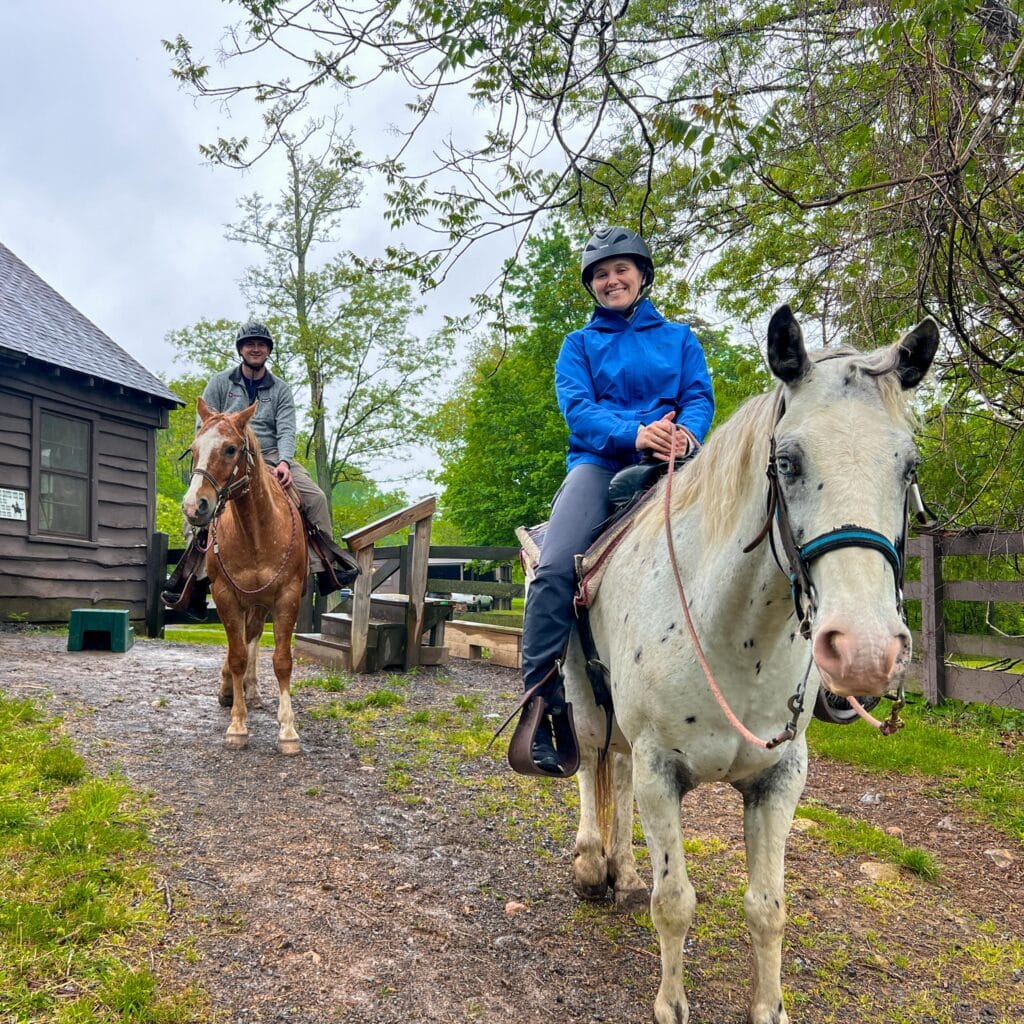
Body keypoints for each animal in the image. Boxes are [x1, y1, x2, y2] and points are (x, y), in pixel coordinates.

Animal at [182, 395, 307, 757]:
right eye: (193, 449)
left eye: (230, 449)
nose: (193, 506)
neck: (256, 532)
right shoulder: (225, 596)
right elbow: (236, 655)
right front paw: (237, 726)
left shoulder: (286, 598)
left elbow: (281, 660)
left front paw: (288, 731)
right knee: (240, 643)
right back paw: (233, 690)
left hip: (261, 603)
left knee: (252, 637)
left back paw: (252, 692)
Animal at [561, 305, 937, 1024]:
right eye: (786, 461)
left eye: (908, 466)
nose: (866, 650)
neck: (733, 637)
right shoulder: (661, 772)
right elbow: (675, 903)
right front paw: (672, 1005)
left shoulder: (778, 780)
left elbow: (768, 909)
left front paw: (769, 1008)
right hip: (584, 695)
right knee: (593, 763)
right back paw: (594, 864)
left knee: (613, 772)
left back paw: (623, 867)